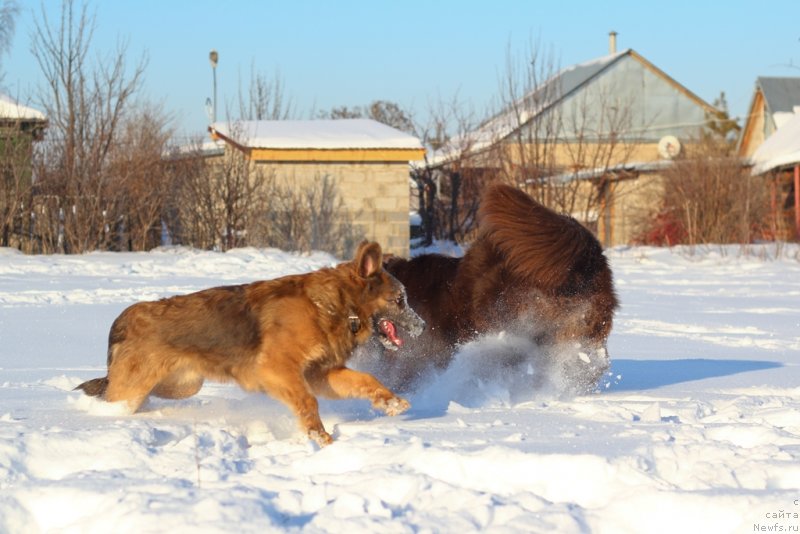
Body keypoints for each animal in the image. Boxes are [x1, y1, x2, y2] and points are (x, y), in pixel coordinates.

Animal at [75, 241, 424, 446]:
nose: (422, 327)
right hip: (136, 387)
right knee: (114, 398)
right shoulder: (278, 370)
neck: (337, 305)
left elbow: (365, 379)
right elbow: (307, 401)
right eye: (400, 300)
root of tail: (125, 317)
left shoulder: (320, 373)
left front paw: (390, 401)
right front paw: (319, 435)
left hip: (183, 385)